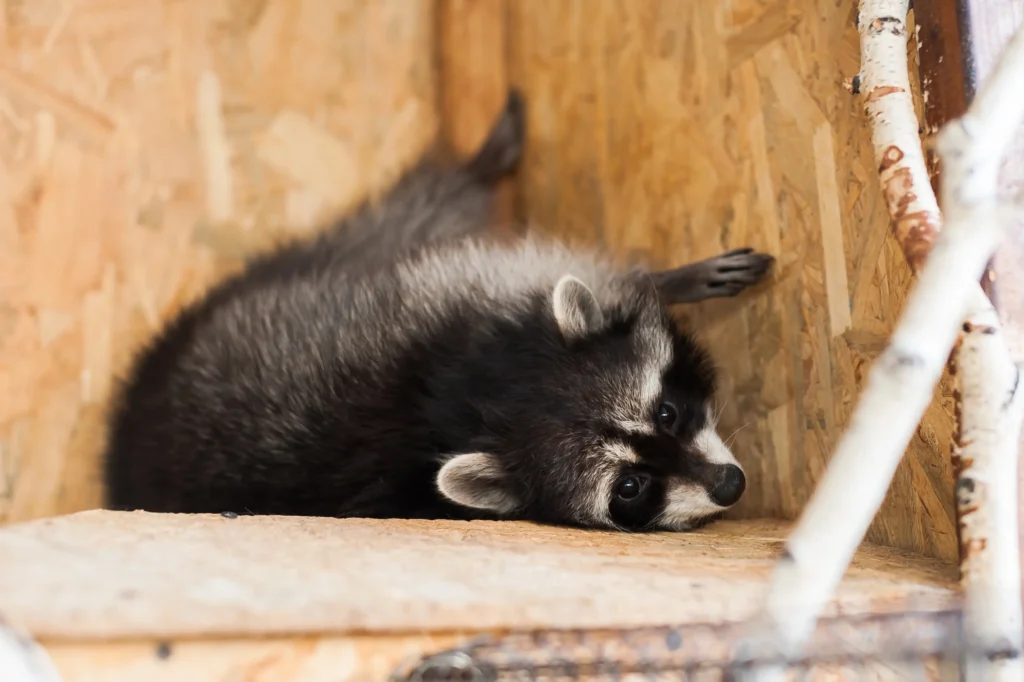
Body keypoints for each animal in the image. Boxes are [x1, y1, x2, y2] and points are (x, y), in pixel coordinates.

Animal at [103, 89, 775, 532]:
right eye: (631, 487)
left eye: (666, 412)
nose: (731, 484)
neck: (477, 391)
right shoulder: (445, 293)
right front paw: (660, 278)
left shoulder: (451, 298)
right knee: (417, 211)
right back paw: (477, 168)